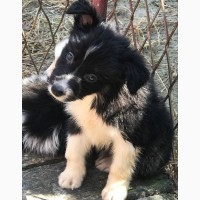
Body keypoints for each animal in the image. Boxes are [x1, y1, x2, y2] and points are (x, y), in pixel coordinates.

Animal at [23, 0, 173, 199]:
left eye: (92, 77)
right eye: (69, 55)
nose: (56, 90)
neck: (96, 97)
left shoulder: (130, 135)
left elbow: (121, 167)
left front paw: (114, 190)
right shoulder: (76, 123)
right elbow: (73, 151)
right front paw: (71, 176)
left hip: (156, 151)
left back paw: (107, 161)